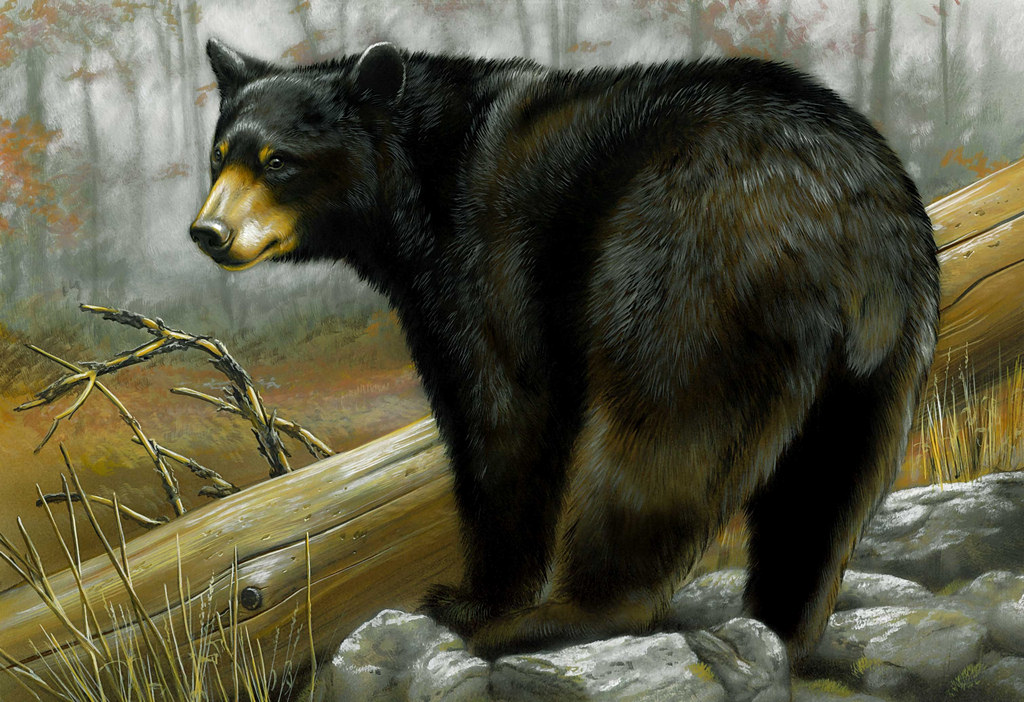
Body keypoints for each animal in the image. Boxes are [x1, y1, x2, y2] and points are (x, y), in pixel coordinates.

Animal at [190, 38, 940, 661]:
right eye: (220, 156)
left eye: (278, 161)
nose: (208, 231)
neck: (418, 182)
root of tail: (846, 223)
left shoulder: (484, 260)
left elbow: (503, 416)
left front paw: (472, 599)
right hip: (885, 354)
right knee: (826, 489)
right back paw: (785, 626)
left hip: (689, 278)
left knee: (661, 445)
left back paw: (556, 618)